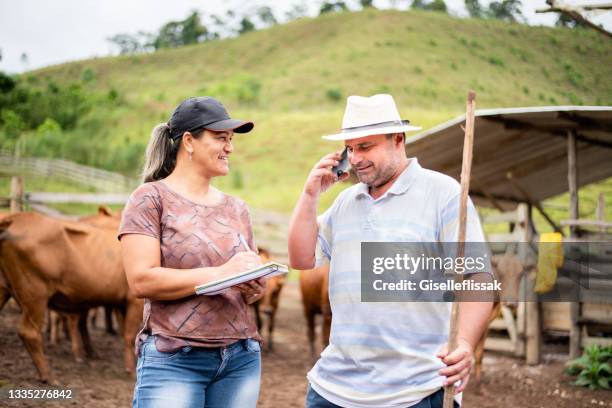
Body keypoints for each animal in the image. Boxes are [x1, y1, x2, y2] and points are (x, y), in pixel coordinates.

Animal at [0, 212, 143, 384]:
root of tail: (15, 217)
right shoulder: (135, 301)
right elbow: (130, 335)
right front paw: (132, 371)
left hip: (5, 288)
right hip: (35, 294)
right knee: (30, 333)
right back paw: (49, 376)